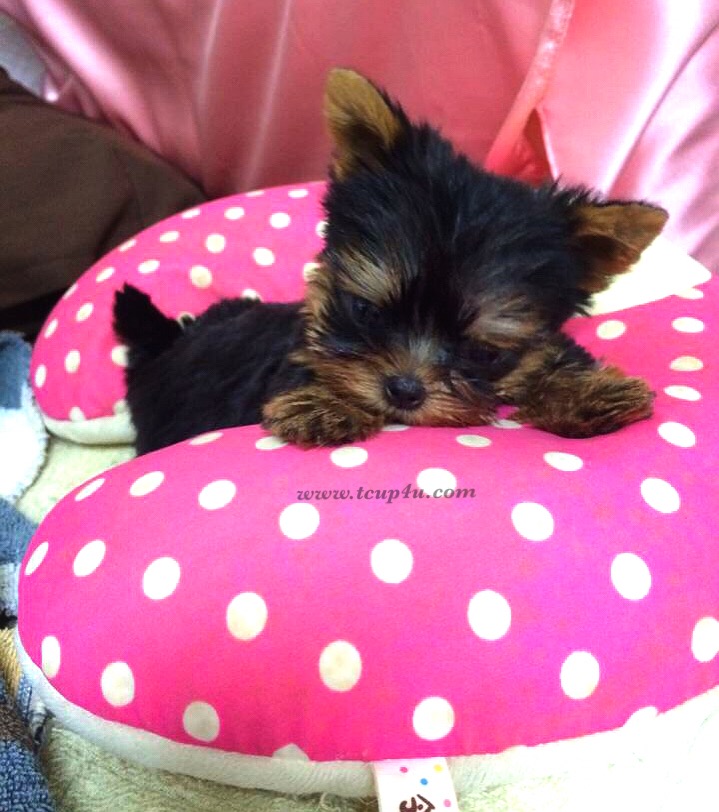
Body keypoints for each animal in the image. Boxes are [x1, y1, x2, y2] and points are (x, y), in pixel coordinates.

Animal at [113, 68, 667, 455]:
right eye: (366, 312)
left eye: (484, 352)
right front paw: (327, 404)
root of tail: (164, 346)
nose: (403, 390)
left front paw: (589, 391)